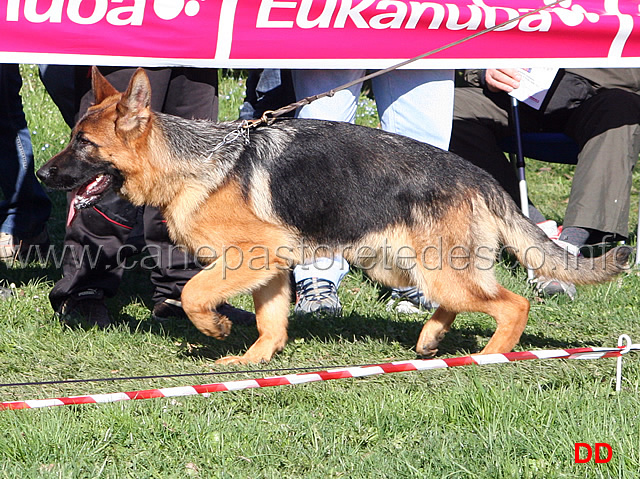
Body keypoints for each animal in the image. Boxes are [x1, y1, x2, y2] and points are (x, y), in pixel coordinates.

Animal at [37, 68, 628, 364]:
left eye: (84, 144)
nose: (42, 175)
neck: (191, 162)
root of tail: (478, 176)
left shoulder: (248, 256)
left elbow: (193, 293)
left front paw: (214, 328)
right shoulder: (273, 266)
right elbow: (272, 323)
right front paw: (251, 363)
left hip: (436, 269)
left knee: (512, 303)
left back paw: (489, 357)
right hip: (402, 264)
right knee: (460, 302)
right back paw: (430, 340)